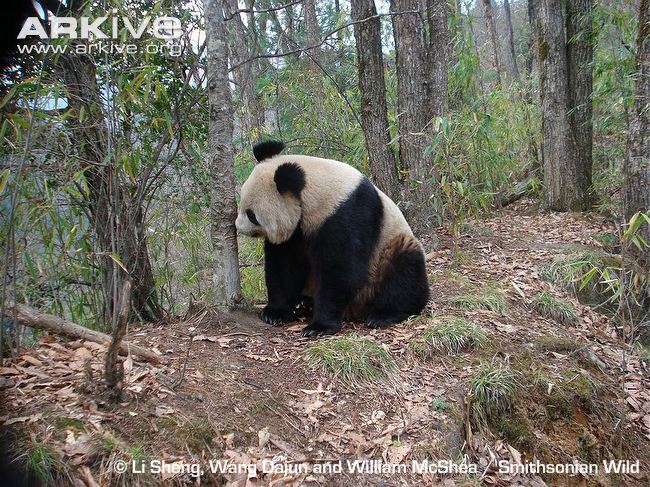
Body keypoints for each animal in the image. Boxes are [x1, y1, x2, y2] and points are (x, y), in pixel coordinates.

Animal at [235, 141, 430, 337]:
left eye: (251, 215)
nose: (237, 227)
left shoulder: (347, 213)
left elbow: (342, 268)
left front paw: (319, 326)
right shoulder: (297, 229)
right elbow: (284, 264)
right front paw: (275, 312)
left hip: (388, 248)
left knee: (404, 270)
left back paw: (385, 314)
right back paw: (303, 303)